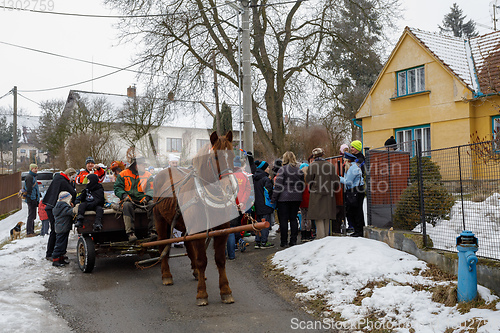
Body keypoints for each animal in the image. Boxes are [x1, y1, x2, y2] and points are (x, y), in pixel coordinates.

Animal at [152, 129, 238, 304]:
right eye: (215, 157)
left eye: (232, 156)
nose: (230, 188)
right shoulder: (198, 232)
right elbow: (202, 260)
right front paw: (202, 293)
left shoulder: (222, 231)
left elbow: (220, 259)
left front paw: (225, 290)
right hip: (160, 220)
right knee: (162, 244)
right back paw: (166, 274)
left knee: (187, 244)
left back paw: (197, 273)